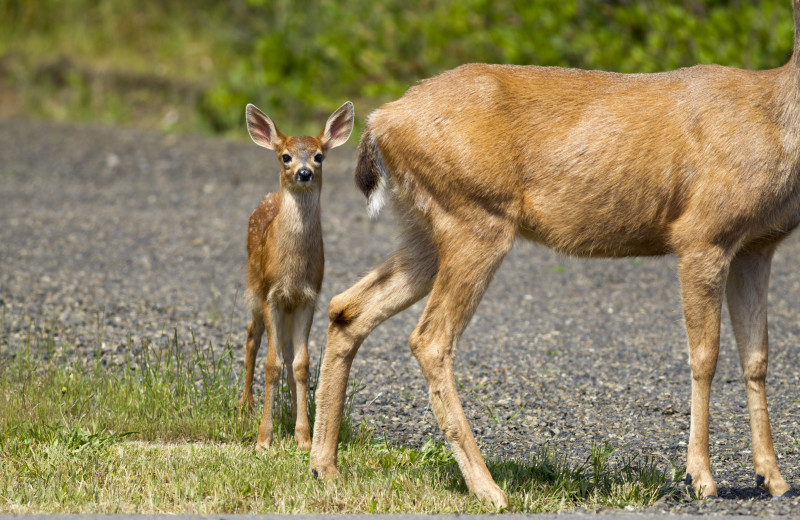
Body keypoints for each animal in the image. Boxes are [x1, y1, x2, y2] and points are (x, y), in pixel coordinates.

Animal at [241, 102, 354, 450]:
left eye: (319, 156)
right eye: (285, 156)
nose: (304, 173)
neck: (292, 270)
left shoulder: (308, 297)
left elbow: (300, 364)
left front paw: (304, 437)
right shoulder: (271, 295)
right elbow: (271, 364)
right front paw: (263, 439)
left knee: (289, 355)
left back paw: (292, 415)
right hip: (253, 290)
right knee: (252, 337)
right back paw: (245, 408)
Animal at [310, 2, 800, 510]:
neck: (777, 117)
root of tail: (380, 120)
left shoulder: (759, 245)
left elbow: (758, 357)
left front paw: (774, 479)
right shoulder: (703, 234)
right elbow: (704, 355)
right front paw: (701, 478)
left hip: (424, 229)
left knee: (347, 307)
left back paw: (325, 467)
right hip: (475, 217)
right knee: (429, 338)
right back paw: (489, 488)